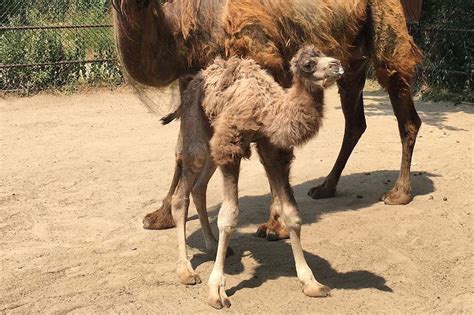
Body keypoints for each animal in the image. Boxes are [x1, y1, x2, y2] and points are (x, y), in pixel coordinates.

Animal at [114, 0, 422, 241]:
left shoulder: (261, 56)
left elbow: (272, 150)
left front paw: (276, 226)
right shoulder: (192, 79)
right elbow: (182, 150)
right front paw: (161, 215)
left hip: (385, 25)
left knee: (402, 100)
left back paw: (399, 192)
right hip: (351, 61)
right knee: (356, 121)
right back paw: (325, 187)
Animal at [165, 45, 342, 310]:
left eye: (323, 54)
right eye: (309, 64)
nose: (337, 65)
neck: (267, 110)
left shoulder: (272, 150)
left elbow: (292, 214)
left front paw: (311, 283)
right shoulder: (230, 147)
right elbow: (228, 218)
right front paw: (217, 292)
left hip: (212, 137)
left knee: (198, 188)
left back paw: (212, 245)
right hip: (195, 125)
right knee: (183, 190)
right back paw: (186, 271)